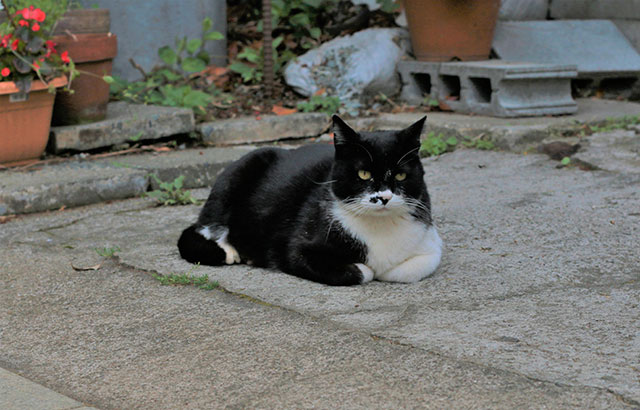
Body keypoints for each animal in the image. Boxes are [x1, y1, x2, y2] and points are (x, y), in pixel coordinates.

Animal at [178, 113, 442, 284]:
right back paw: (231, 250)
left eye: (400, 175)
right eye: (364, 174)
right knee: (204, 228)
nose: (384, 197)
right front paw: (366, 268)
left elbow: (413, 268)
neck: (378, 227)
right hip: (238, 172)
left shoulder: (431, 243)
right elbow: (361, 272)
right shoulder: (294, 248)